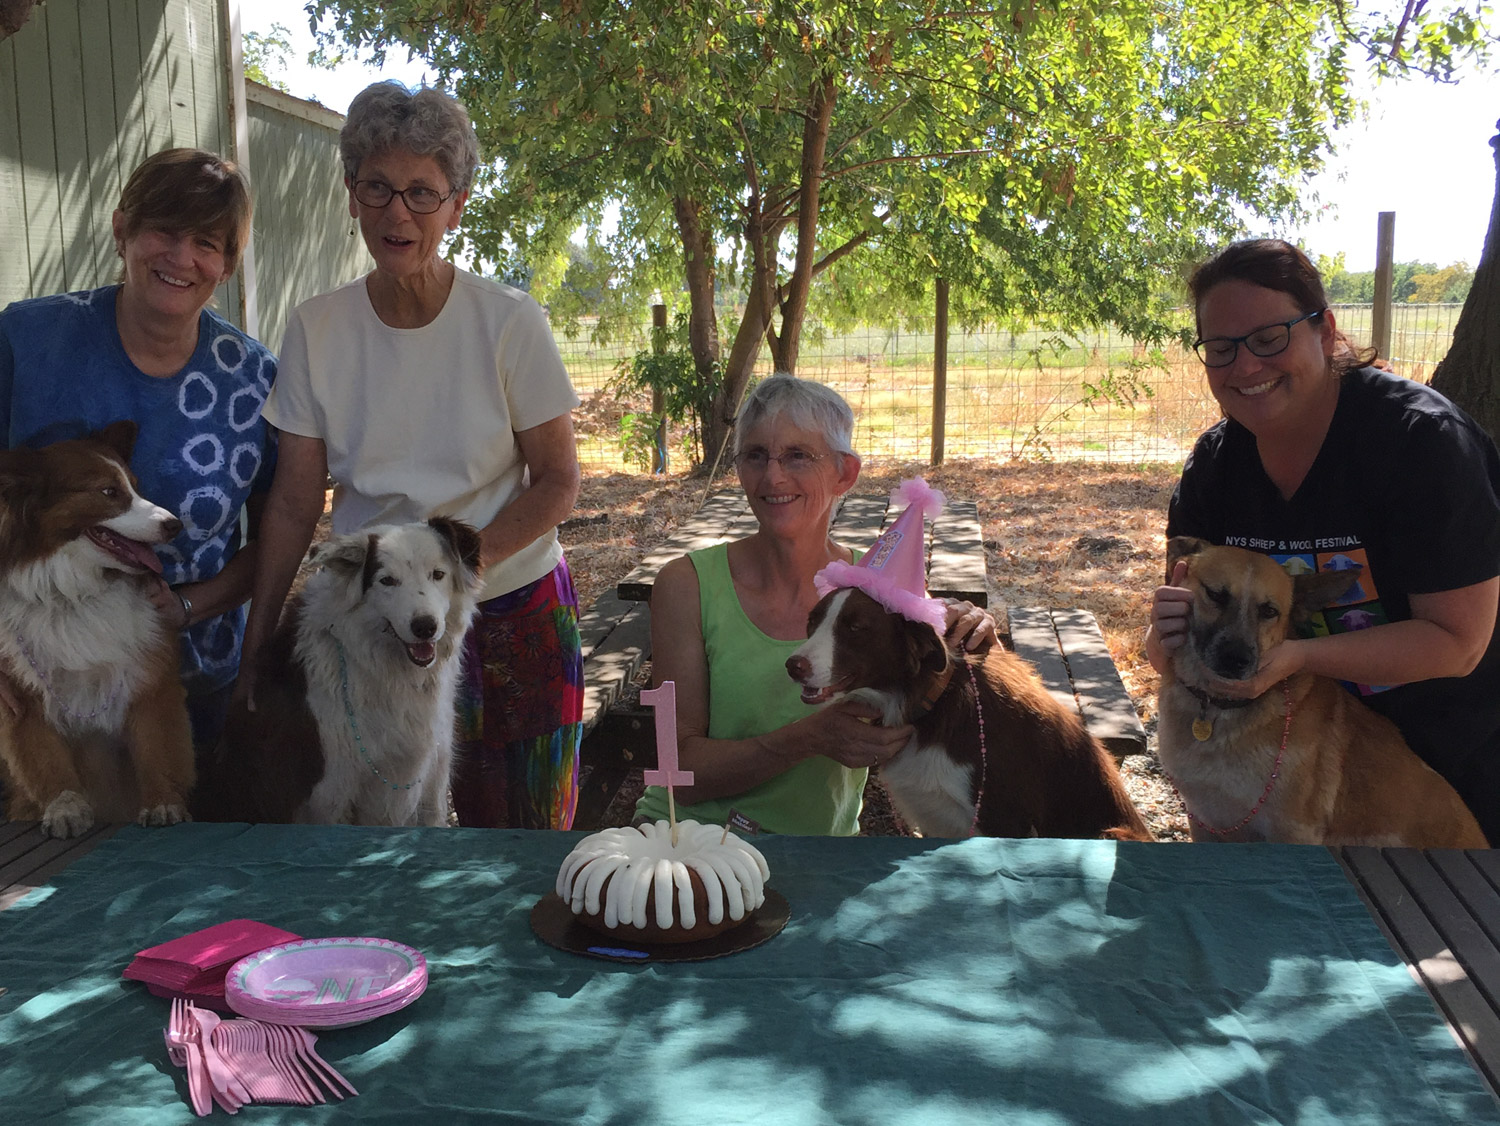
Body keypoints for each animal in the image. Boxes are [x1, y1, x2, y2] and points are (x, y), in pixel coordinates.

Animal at [0, 422, 195, 838]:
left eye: (136, 486)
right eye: (108, 492)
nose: (175, 525)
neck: (72, 595)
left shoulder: (150, 676)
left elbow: (156, 746)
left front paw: (163, 803)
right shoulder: (21, 696)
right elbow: (45, 758)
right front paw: (65, 807)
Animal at [196, 518, 482, 826]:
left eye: (438, 574)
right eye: (387, 581)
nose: (425, 627)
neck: (388, 672)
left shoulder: (431, 784)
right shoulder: (328, 795)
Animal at [787, 587, 1153, 840]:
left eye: (855, 628)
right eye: (812, 621)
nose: (792, 666)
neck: (932, 705)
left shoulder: (1003, 820)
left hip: (1109, 833)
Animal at [1156, 537, 1487, 847]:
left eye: (1269, 611)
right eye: (1216, 595)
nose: (1237, 660)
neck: (1215, 710)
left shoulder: (1294, 831)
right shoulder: (1204, 820)